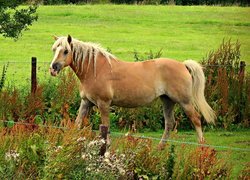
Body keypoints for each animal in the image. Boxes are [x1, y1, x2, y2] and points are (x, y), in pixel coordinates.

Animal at [49, 34, 216, 148]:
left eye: (65, 51)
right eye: (54, 49)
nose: (53, 68)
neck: (94, 69)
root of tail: (182, 65)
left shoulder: (104, 104)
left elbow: (105, 127)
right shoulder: (86, 102)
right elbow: (77, 124)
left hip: (185, 102)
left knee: (196, 120)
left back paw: (201, 147)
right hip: (167, 101)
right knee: (169, 123)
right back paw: (159, 148)